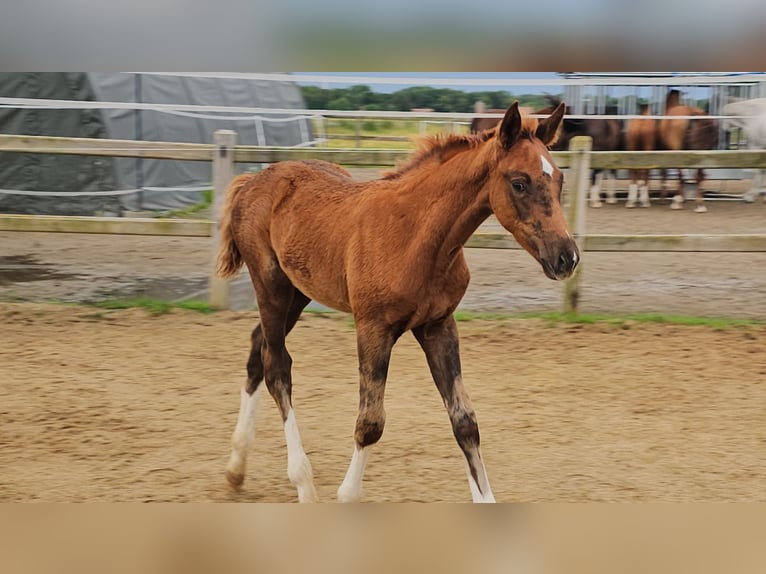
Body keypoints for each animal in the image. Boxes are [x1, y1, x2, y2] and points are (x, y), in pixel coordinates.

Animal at [214, 102, 576, 504]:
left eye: (560, 180)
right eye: (519, 182)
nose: (567, 257)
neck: (416, 235)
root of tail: (253, 181)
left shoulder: (438, 326)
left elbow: (465, 421)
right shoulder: (373, 327)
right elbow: (370, 422)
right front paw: (347, 494)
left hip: (299, 292)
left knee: (257, 349)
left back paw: (235, 469)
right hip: (272, 287)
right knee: (277, 367)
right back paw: (303, 483)